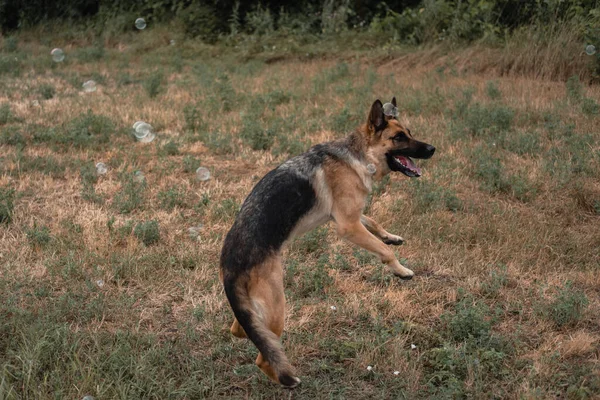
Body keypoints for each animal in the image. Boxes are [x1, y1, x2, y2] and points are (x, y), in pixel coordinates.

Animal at [218, 97, 434, 388]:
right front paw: (401, 270)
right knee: (263, 356)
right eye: (399, 137)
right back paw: (290, 382)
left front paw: (391, 236)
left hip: (256, 309)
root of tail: (230, 265)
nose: (432, 149)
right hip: (277, 307)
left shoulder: (349, 215)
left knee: (241, 329)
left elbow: (374, 223)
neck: (358, 155)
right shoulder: (347, 225)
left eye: (409, 132)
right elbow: (383, 251)